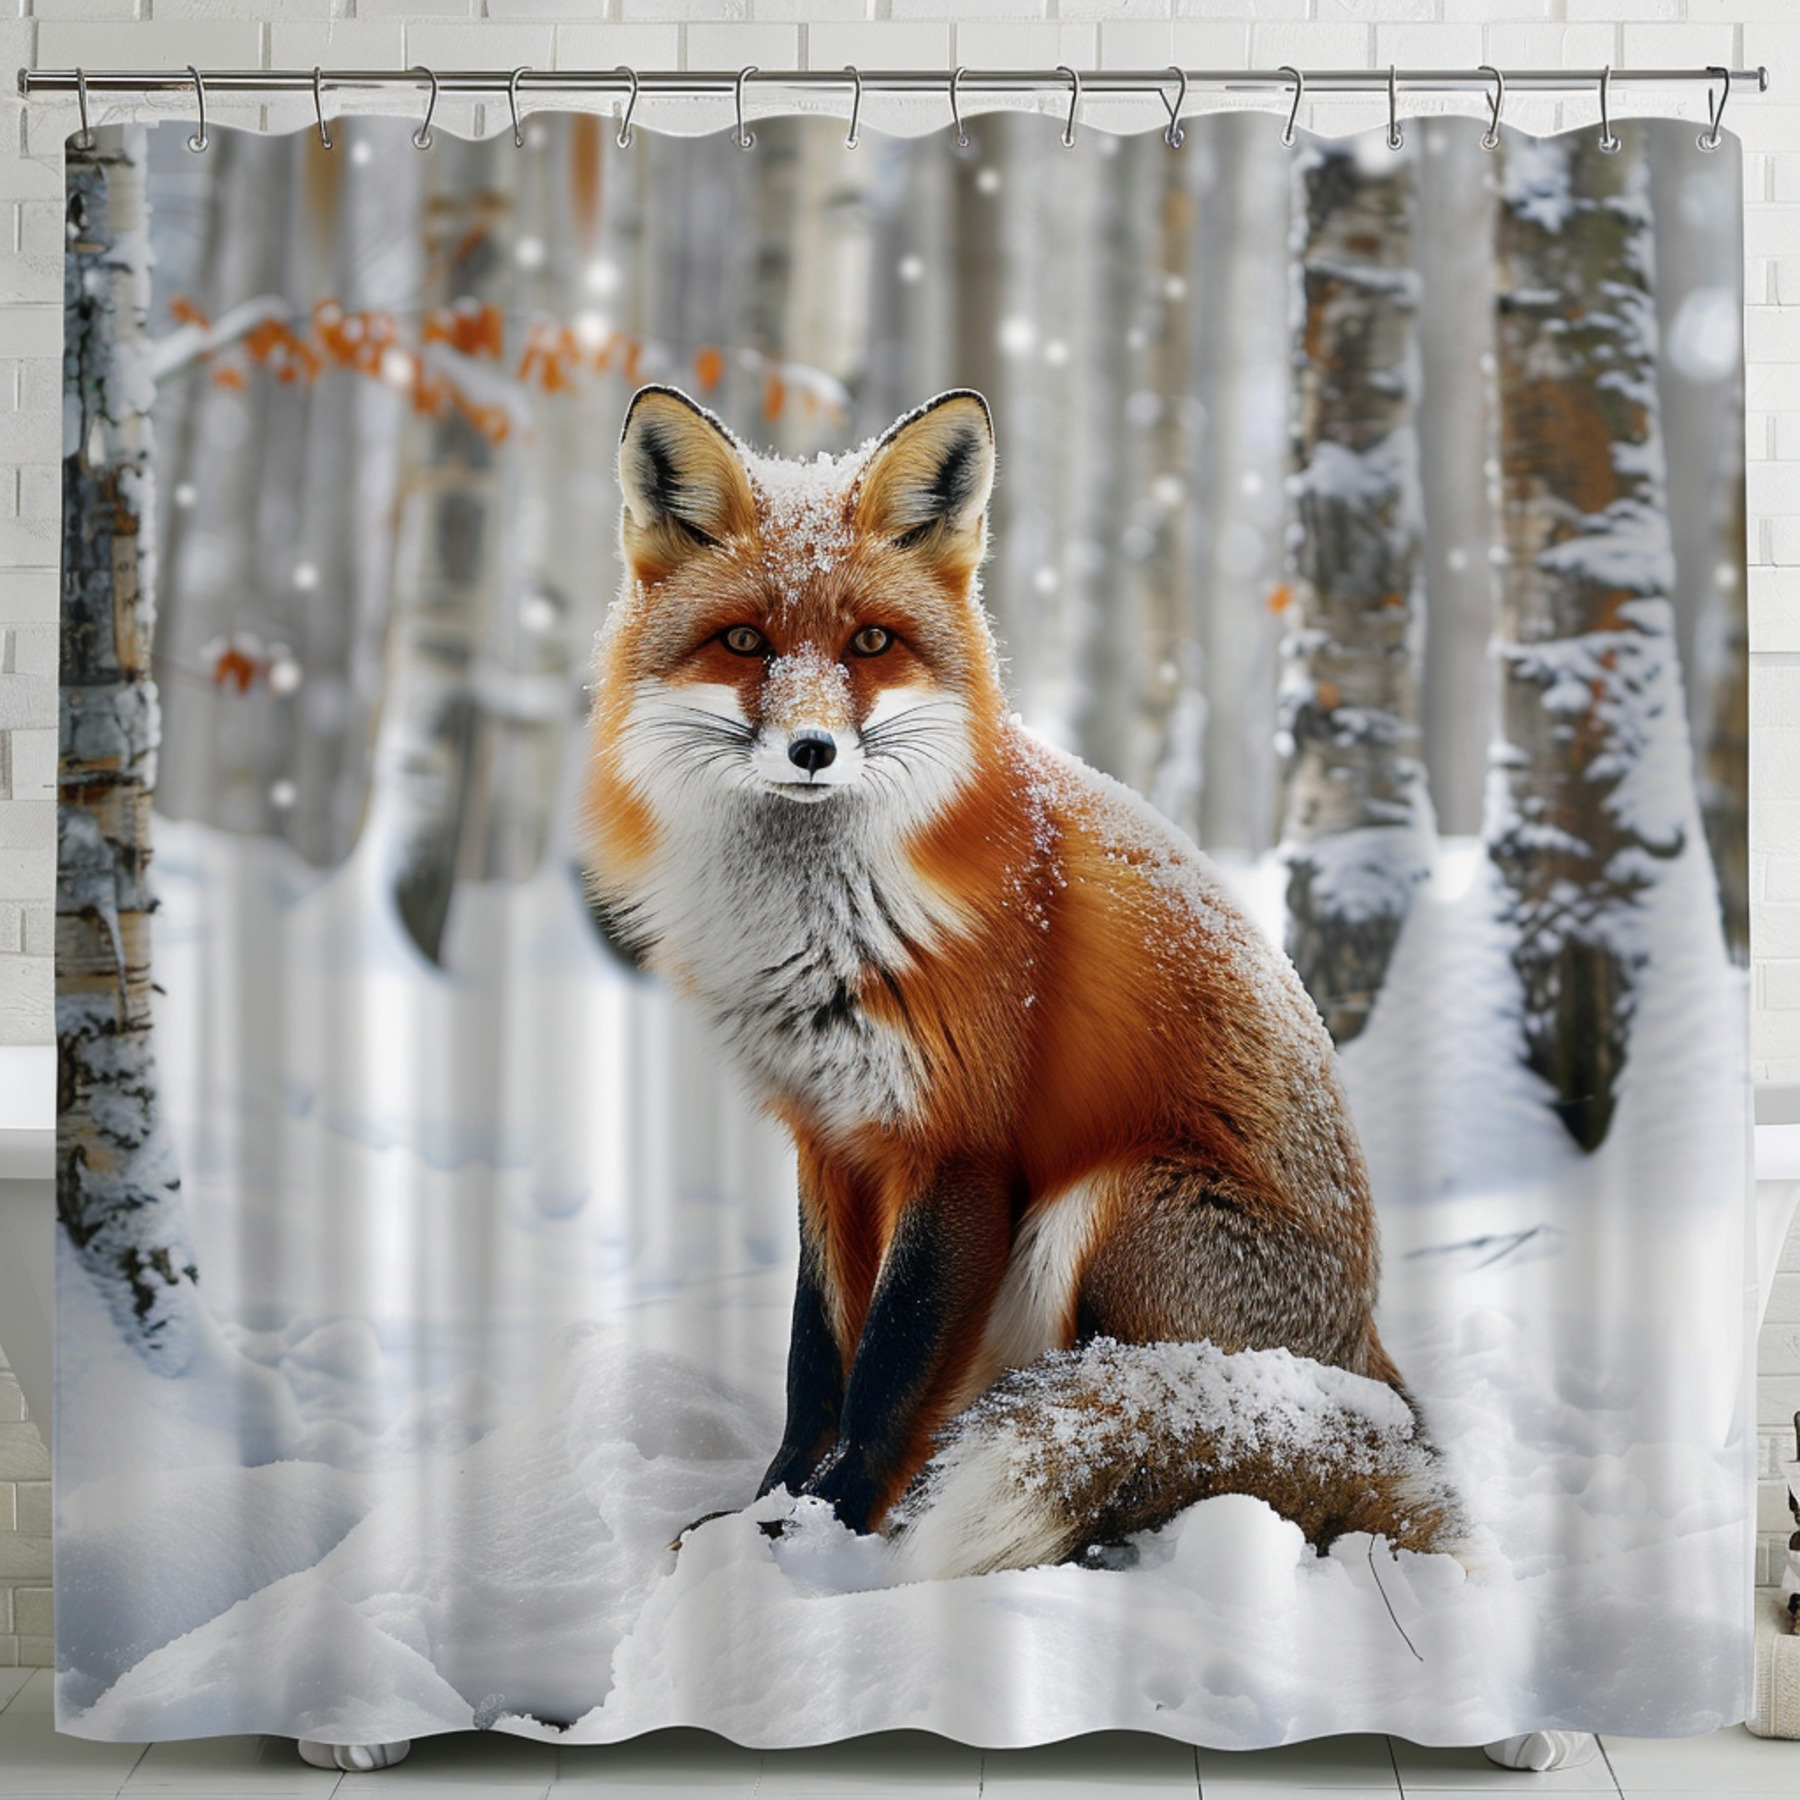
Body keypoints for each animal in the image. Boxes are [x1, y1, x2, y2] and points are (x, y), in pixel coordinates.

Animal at [581, 384, 1461, 1581]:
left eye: (870, 641)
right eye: (744, 641)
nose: (812, 749)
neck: (821, 932)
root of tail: (1372, 1375)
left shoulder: (959, 1141)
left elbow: (885, 1378)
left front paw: (817, 1541)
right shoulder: (829, 1137)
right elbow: (816, 1363)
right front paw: (764, 1514)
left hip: (1110, 1203)